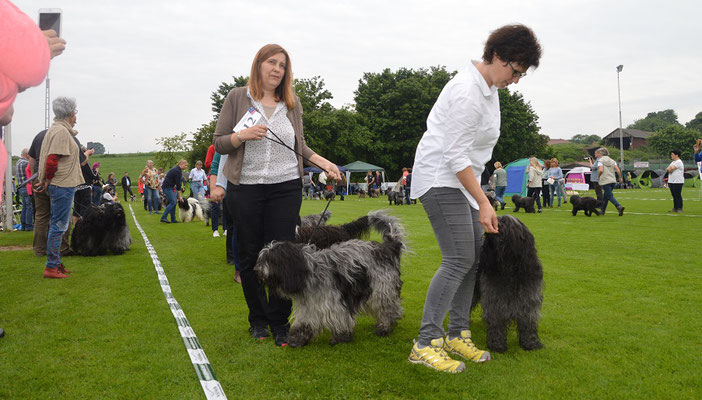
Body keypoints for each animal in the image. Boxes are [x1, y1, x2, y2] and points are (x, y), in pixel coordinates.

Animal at [256, 209, 404, 346]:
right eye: (262, 259)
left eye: (271, 260)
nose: (256, 270)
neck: (310, 270)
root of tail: (388, 248)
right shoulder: (309, 304)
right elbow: (305, 321)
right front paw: (298, 338)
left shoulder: (334, 300)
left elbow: (339, 318)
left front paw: (341, 337)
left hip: (382, 287)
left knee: (387, 308)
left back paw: (384, 327)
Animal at [476, 216, 548, 354]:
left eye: (505, 221)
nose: (493, 225)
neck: (510, 267)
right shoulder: (495, 301)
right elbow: (496, 322)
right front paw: (497, 345)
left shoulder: (528, 300)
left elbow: (528, 323)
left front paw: (531, 343)